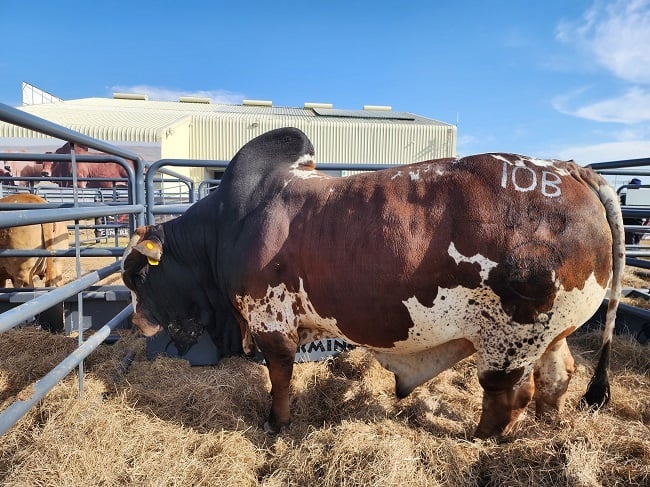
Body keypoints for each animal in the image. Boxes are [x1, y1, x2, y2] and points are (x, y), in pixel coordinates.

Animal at [121, 127, 624, 439]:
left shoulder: (271, 323)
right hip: (550, 332)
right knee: (556, 377)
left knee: (508, 394)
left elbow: (280, 379)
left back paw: (479, 439)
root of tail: (571, 169)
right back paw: (544, 428)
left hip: (510, 341)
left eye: (138, 275)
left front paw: (276, 423)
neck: (228, 227)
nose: (137, 324)